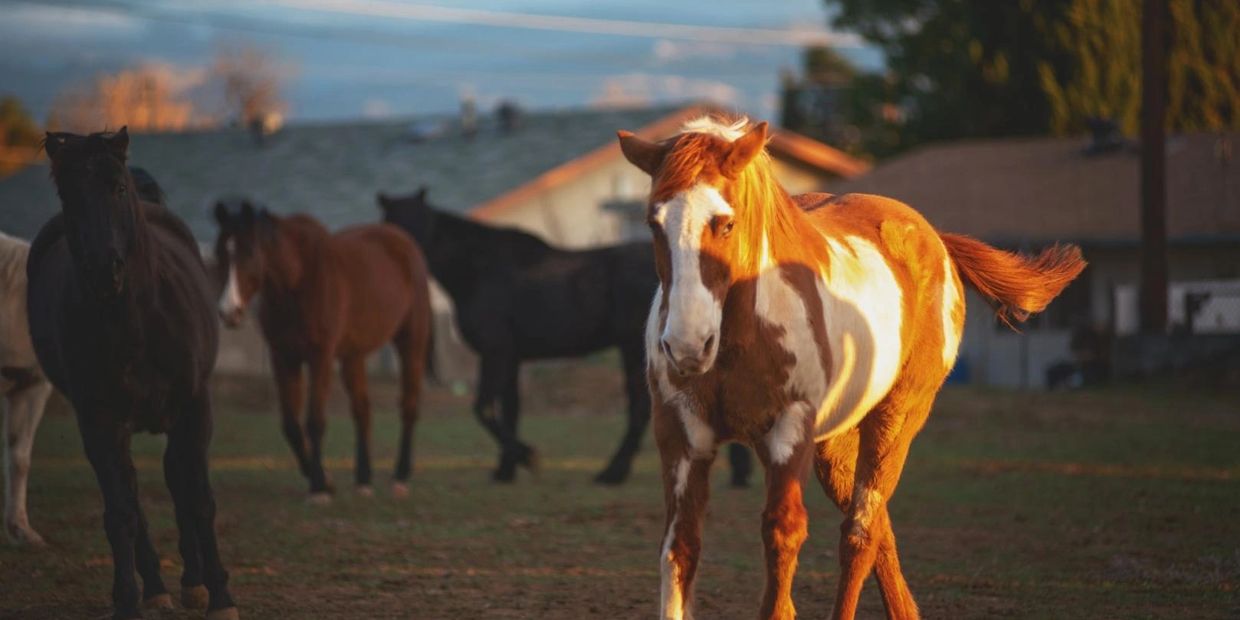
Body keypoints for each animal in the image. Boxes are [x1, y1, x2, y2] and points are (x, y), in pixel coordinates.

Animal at [30, 128, 238, 619]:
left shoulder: (194, 406)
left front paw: (220, 596)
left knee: (177, 480)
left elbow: (198, 497)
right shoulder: (99, 420)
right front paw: (127, 598)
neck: (137, 324)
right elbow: (121, 512)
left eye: (118, 188)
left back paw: (193, 583)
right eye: (68, 194)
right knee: (135, 498)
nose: (104, 269)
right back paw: (157, 587)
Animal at [213, 200, 432, 502]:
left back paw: (399, 477)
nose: (228, 312)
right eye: (219, 252)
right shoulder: (283, 358)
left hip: (411, 343)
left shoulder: (321, 357)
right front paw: (325, 480)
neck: (299, 280)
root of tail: (402, 241)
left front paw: (319, 488)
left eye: (249, 252)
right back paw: (363, 479)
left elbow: (314, 420)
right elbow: (290, 424)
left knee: (408, 405)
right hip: (353, 356)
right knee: (362, 410)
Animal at [378, 188, 753, 485]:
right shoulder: (510, 358)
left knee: (639, 409)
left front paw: (527, 456)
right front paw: (506, 470)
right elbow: (510, 409)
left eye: (423, 221)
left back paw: (613, 472)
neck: (480, 269)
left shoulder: (495, 353)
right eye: (393, 221)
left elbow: (483, 408)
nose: (408, 253)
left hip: (635, 350)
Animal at [617, 116, 1085, 619]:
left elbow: (783, 535)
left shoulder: (789, 431)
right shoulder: (681, 436)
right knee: (879, 529)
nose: (686, 346)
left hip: (894, 421)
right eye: (653, 223)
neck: (740, 337)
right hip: (834, 445)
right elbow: (680, 548)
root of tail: (935, 238)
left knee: (860, 532)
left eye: (725, 223)